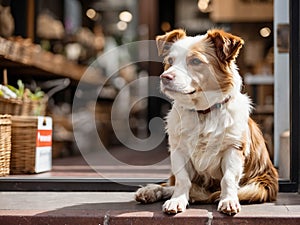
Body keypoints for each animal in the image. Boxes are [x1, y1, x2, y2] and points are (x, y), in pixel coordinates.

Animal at [135, 29, 278, 215]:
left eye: (195, 61)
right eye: (170, 61)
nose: (165, 77)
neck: (202, 113)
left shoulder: (234, 148)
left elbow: (228, 178)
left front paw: (228, 200)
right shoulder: (179, 150)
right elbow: (182, 180)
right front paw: (177, 200)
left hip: (259, 186)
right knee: (172, 185)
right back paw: (151, 191)